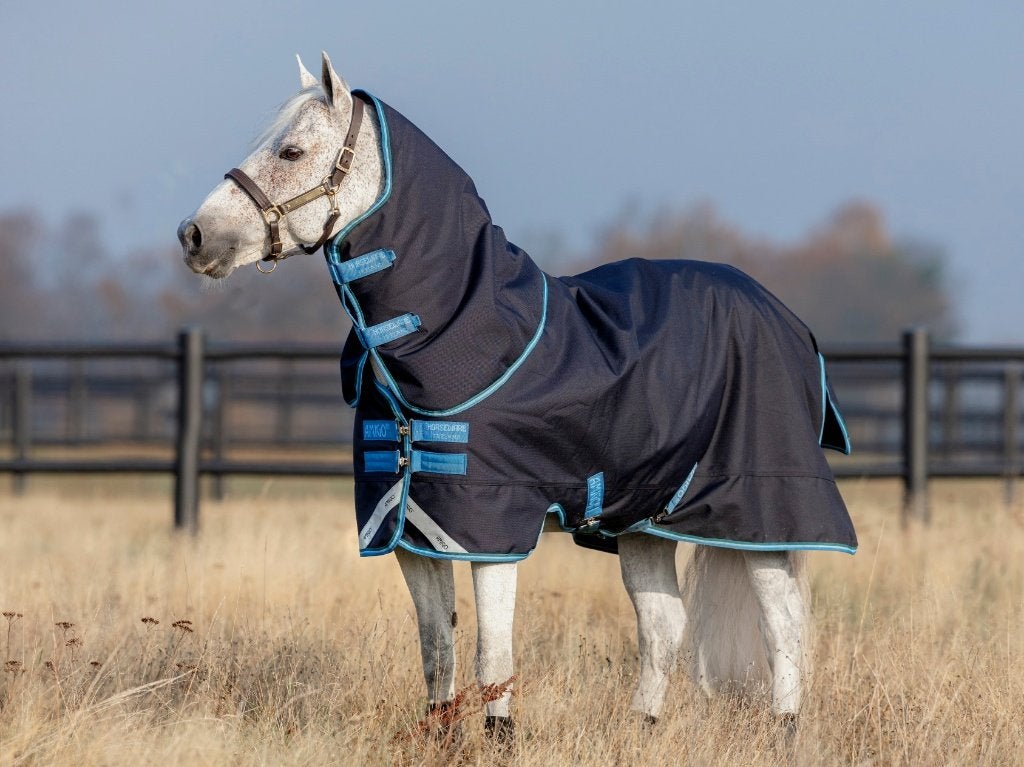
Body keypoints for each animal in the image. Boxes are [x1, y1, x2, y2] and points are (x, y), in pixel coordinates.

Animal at [177, 52, 856, 740]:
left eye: (291, 151)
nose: (195, 235)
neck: (466, 333)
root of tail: (786, 318)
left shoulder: (491, 529)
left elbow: (492, 654)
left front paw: (498, 738)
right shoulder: (411, 530)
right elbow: (436, 646)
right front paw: (440, 736)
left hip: (764, 512)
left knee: (784, 622)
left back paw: (786, 729)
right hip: (644, 521)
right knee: (663, 625)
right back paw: (642, 727)